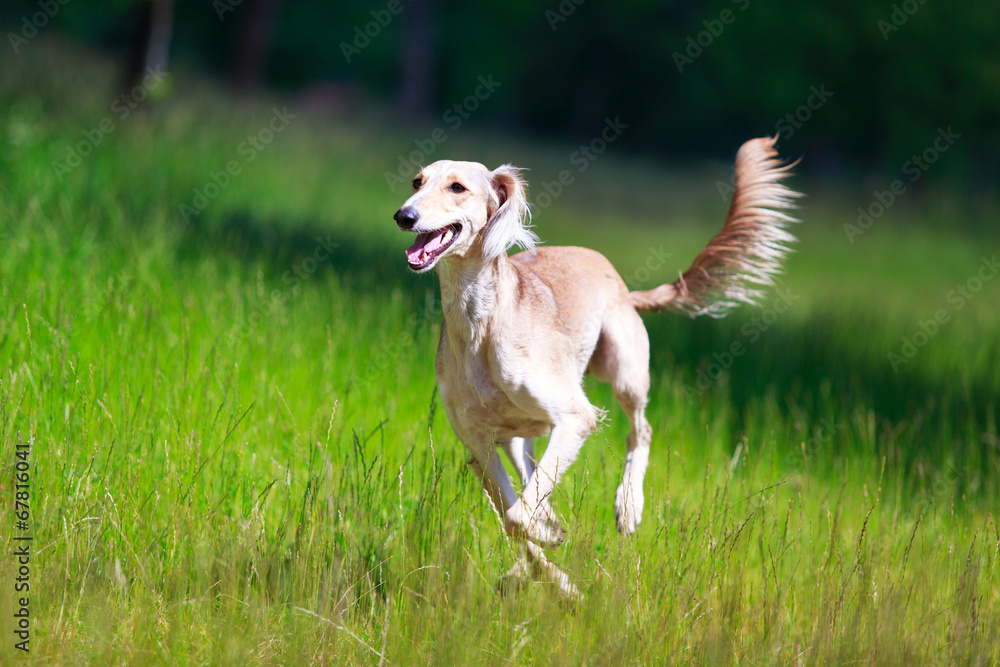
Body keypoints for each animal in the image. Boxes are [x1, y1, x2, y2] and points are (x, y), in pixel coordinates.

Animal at [394, 136, 800, 596]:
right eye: (417, 181)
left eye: (457, 187)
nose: (404, 216)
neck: (480, 324)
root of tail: (620, 281)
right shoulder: (479, 447)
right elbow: (513, 518)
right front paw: (556, 574)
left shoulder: (576, 417)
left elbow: (517, 517)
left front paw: (553, 547)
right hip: (520, 437)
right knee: (533, 478)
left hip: (622, 370)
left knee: (641, 430)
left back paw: (629, 504)